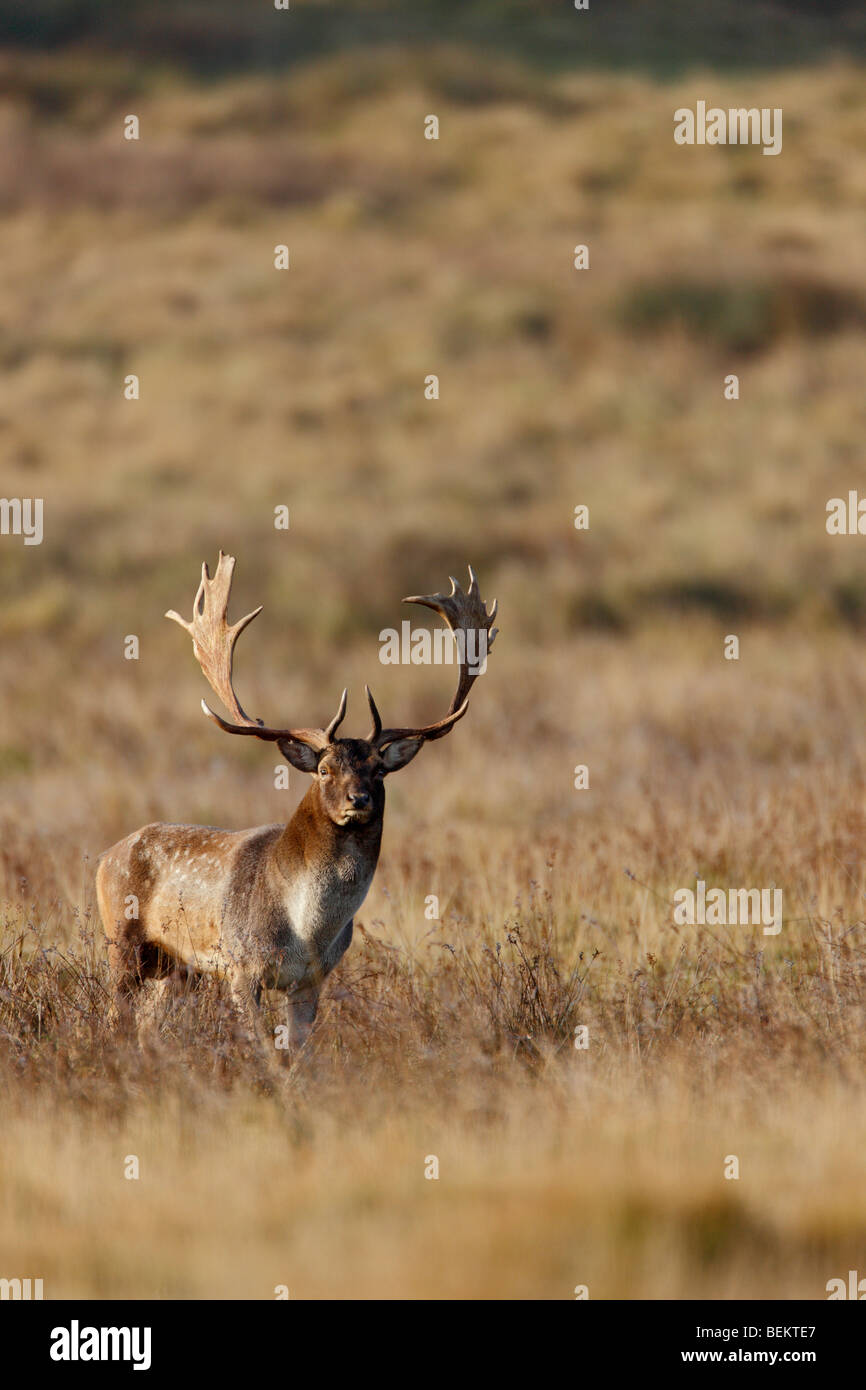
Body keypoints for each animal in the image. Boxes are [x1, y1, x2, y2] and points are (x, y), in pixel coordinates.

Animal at [95, 547, 497, 1045]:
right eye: (324, 770)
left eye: (379, 771)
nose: (358, 800)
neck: (306, 931)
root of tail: (106, 856)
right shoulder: (241, 967)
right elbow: (263, 1048)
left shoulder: (311, 980)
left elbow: (296, 1052)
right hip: (122, 942)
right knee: (114, 1015)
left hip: (179, 967)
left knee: (149, 1021)